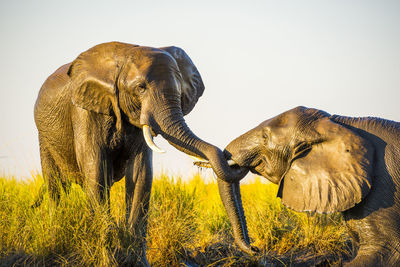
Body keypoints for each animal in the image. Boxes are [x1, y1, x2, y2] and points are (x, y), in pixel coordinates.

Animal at [33, 42, 244, 266]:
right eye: (141, 88)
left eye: (179, 89)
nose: (253, 248)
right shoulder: (84, 111)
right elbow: (95, 169)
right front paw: (109, 259)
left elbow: (140, 175)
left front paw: (137, 261)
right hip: (44, 138)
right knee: (55, 188)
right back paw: (55, 243)